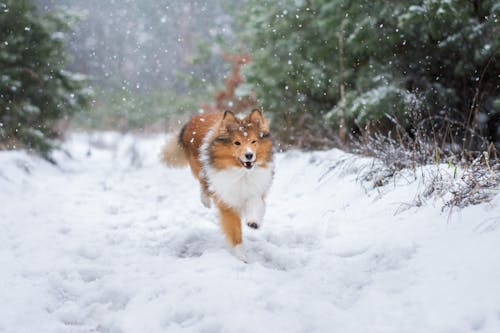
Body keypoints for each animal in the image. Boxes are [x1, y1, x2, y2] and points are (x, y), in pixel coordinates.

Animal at [161, 109, 274, 260]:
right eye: (237, 143)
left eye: (253, 141)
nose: (249, 155)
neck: (241, 172)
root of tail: (195, 118)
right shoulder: (227, 202)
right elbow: (234, 231)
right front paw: (241, 257)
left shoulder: (255, 189)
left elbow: (255, 204)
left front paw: (253, 222)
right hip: (199, 166)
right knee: (203, 181)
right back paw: (205, 199)